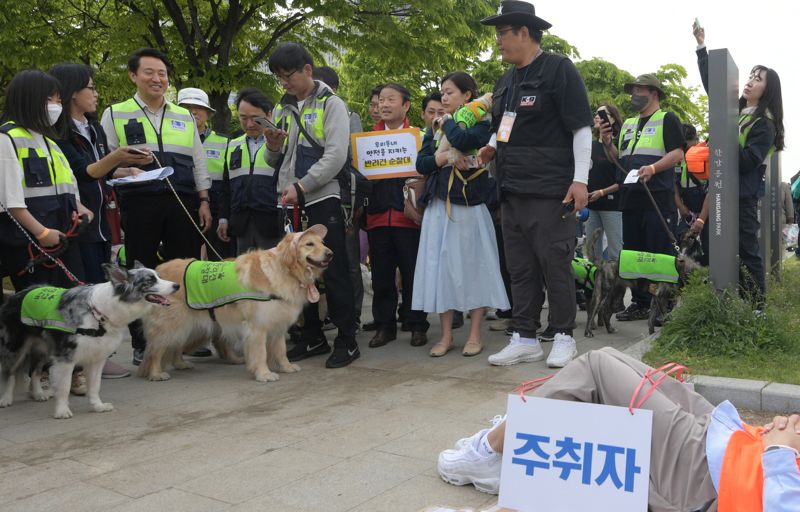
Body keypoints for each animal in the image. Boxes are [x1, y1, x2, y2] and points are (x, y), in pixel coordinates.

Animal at [0, 262, 178, 418]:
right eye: (150, 280)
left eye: (159, 276)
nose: (177, 286)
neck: (98, 313)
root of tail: (15, 296)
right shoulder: (66, 358)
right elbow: (64, 387)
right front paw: (62, 411)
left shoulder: (97, 357)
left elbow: (95, 385)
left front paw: (98, 406)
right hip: (16, 348)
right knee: (10, 372)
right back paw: (6, 398)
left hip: (43, 348)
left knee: (35, 371)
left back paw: (38, 393)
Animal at [138, 226, 332, 382]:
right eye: (309, 244)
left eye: (322, 242)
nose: (330, 253)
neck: (283, 270)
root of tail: (158, 270)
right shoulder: (257, 326)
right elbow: (260, 353)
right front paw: (264, 374)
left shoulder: (277, 323)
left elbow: (280, 350)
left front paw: (286, 367)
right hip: (172, 325)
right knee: (155, 351)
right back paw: (155, 373)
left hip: (191, 325)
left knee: (180, 345)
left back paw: (182, 363)